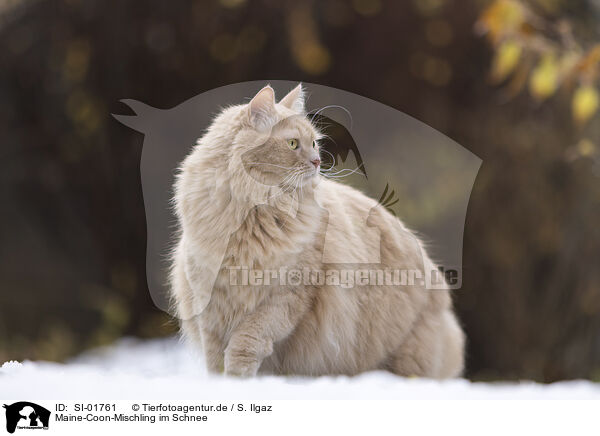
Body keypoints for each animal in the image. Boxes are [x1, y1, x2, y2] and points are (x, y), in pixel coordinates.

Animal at [171, 85, 466, 378]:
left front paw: (238, 377)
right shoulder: (208, 298)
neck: (254, 213)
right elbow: (215, 357)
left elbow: (246, 341)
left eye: (314, 143)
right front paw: (223, 381)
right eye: (292, 144)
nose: (317, 161)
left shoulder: (287, 294)